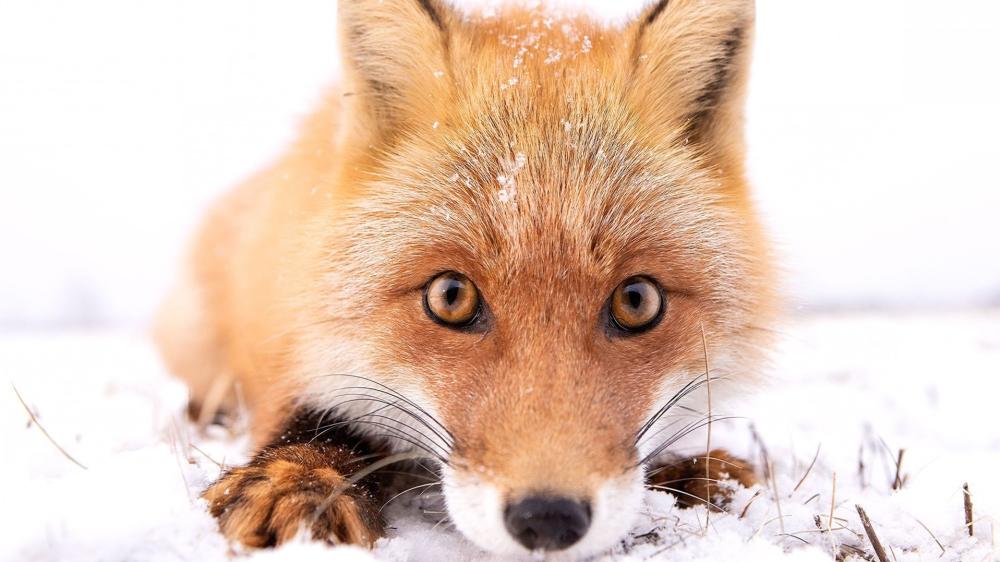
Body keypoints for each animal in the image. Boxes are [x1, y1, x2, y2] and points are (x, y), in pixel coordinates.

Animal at [154, 0, 775, 557]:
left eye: (637, 301)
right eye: (450, 297)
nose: (547, 519)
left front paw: (699, 474)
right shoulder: (295, 332)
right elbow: (316, 419)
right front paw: (298, 479)